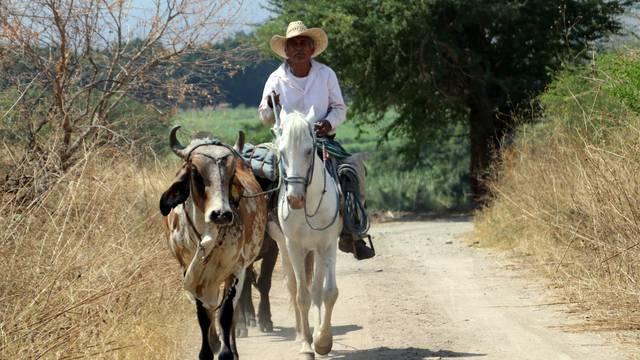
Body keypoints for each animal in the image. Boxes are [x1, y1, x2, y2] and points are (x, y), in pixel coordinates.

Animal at [268, 111, 342, 358]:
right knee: (293, 286)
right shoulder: (294, 246)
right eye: (281, 153)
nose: (294, 199)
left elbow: (328, 293)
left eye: (309, 151)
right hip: (284, 247)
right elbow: (302, 296)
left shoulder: (328, 244)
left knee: (317, 289)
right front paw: (307, 346)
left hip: (317, 251)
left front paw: (323, 341)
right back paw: (302, 334)